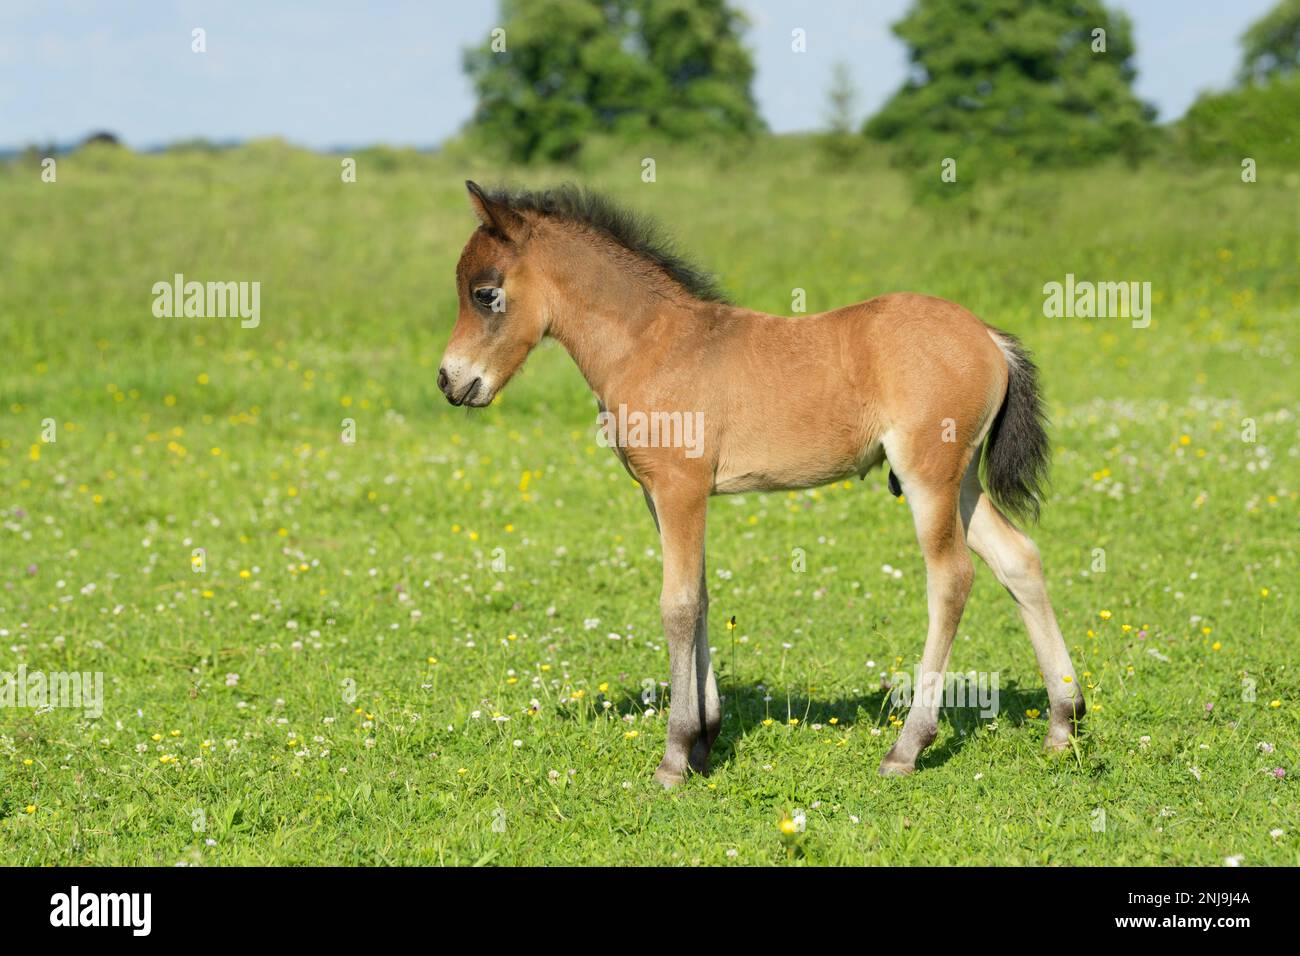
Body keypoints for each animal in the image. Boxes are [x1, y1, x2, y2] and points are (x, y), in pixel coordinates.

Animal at [438, 181, 1085, 787]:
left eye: (486, 293)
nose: (449, 381)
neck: (651, 343)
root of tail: (989, 338)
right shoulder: (662, 495)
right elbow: (700, 597)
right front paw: (705, 741)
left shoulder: (679, 487)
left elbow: (677, 604)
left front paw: (675, 756)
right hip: (963, 482)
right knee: (1019, 558)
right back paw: (1063, 722)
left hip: (929, 475)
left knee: (951, 578)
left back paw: (907, 747)